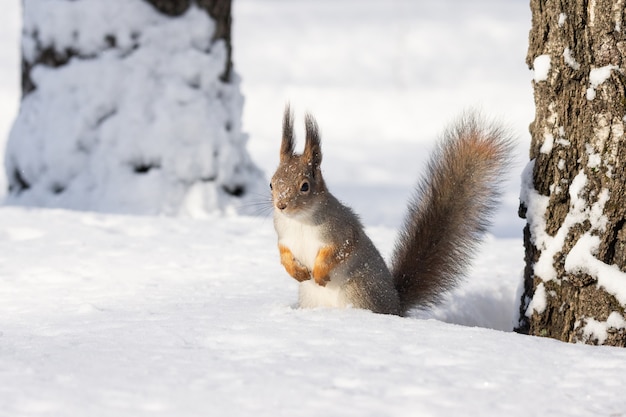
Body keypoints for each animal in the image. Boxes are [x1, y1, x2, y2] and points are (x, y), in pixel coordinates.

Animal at [270, 105, 512, 316]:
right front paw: (296, 271)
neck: (299, 220)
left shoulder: (340, 229)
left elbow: (340, 249)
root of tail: (396, 306)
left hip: (359, 290)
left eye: (305, 186)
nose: (281, 205)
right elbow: (283, 253)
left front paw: (319, 274)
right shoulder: (283, 235)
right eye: (272, 184)